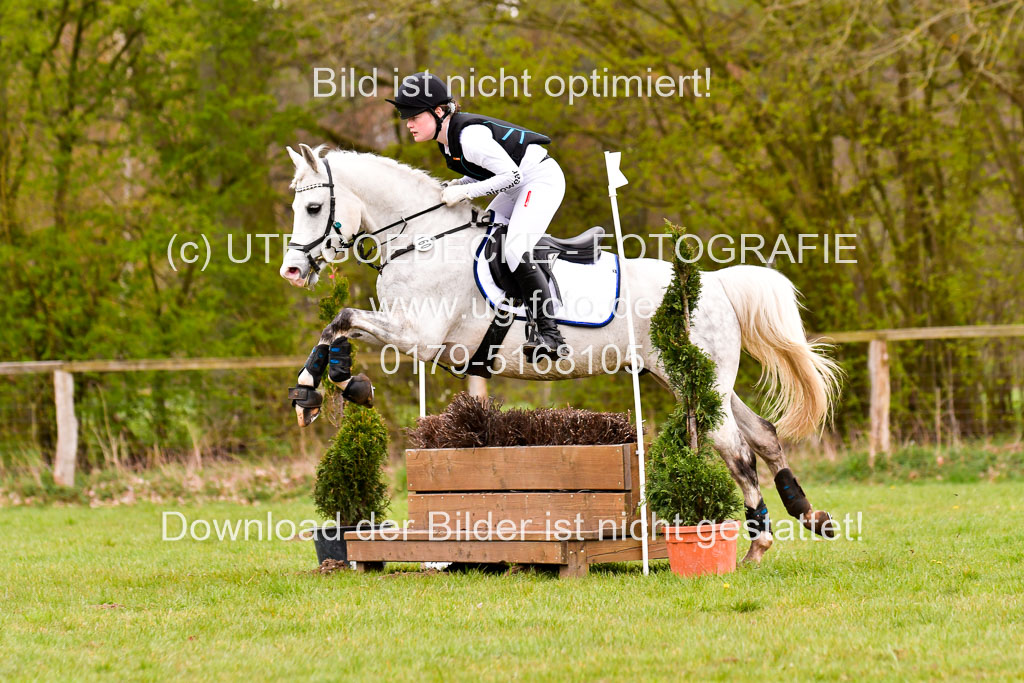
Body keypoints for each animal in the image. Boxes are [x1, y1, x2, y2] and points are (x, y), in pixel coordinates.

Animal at [280, 143, 839, 561]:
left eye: (313, 208)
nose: (291, 271)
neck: (422, 239)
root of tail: (712, 282)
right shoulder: (407, 332)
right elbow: (339, 329)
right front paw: (335, 383)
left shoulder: (417, 334)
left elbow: (341, 319)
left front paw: (318, 390)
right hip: (695, 379)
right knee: (762, 433)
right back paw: (810, 515)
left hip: (694, 379)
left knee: (737, 451)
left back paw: (756, 545)